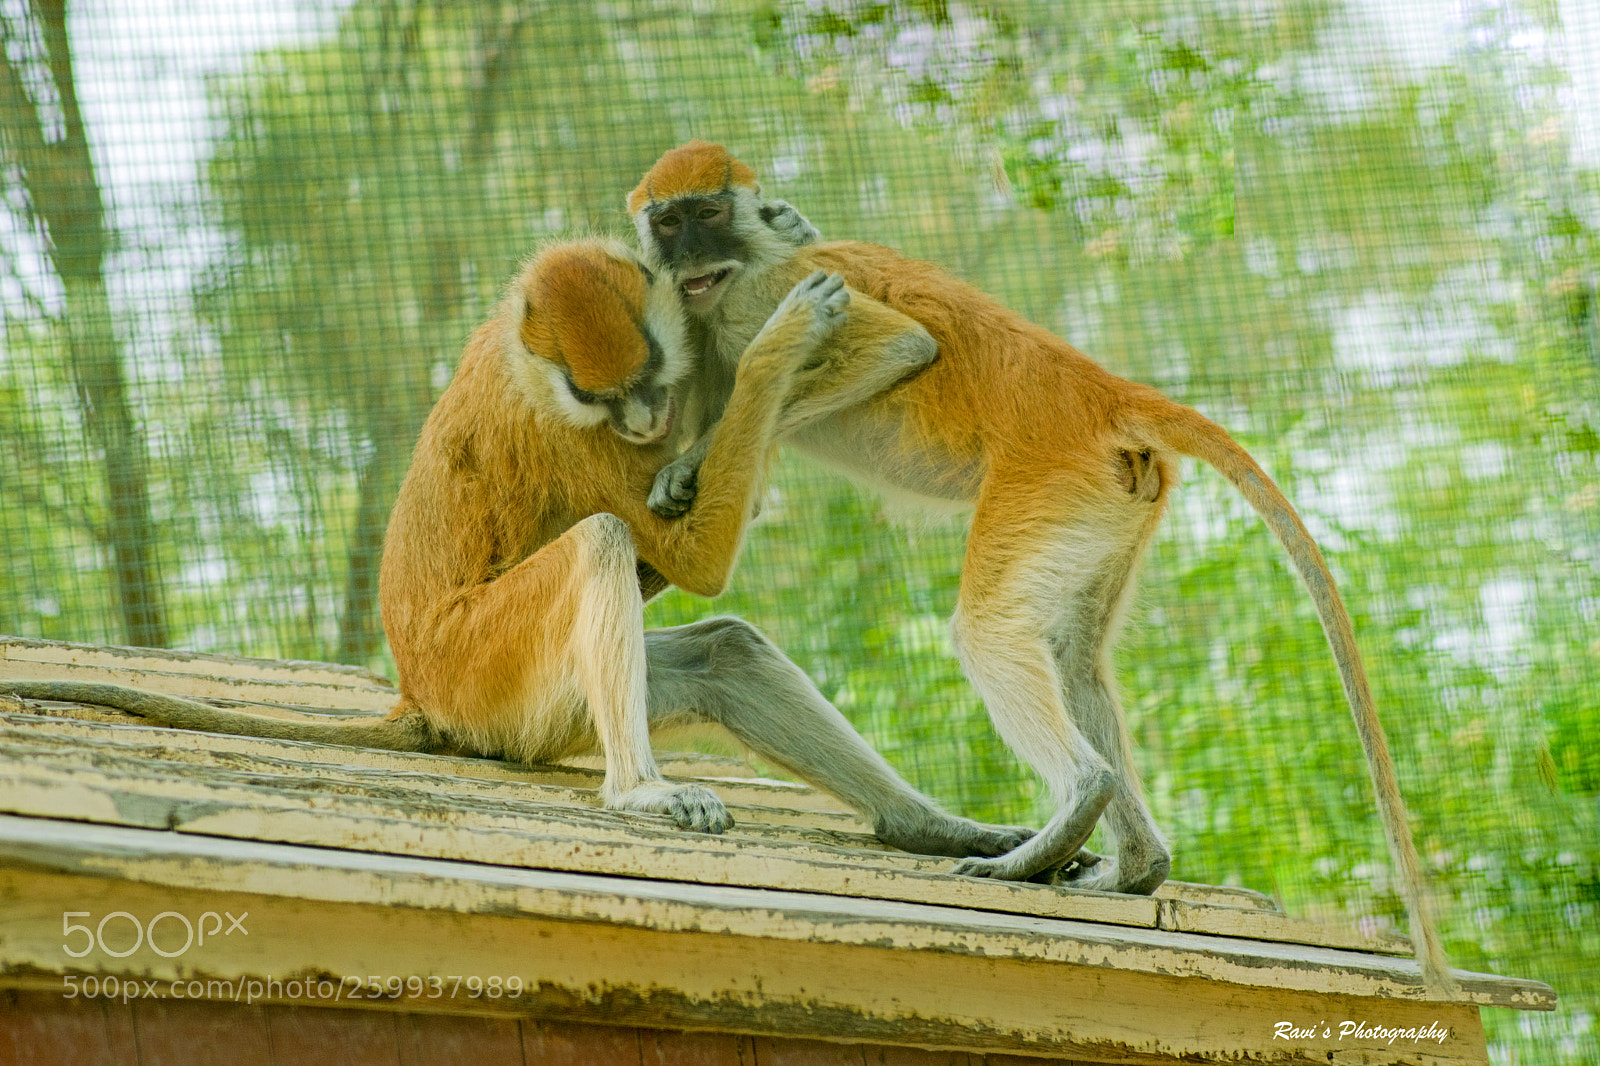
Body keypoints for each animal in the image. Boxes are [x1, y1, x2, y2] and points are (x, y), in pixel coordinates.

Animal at [2, 235, 1036, 862]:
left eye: (649, 376)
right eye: (601, 396)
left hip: (533, 710)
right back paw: (640, 793)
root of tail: (420, 692)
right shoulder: (572, 441)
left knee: (726, 651)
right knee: (600, 545)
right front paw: (785, 342)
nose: (649, 419)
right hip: (486, 668)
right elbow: (690, 556)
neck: (520, 358)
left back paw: (932, 827)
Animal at [624, 141, 1455, 993]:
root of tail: (1098, 391)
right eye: (669, 221)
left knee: (990, 632)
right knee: (1074, 656)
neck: (747, 261)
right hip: (1110, 500)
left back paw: (1073, 808)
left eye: (709, 213)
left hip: (1046, 477)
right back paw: (1138, 866)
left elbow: (901, 348)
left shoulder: (767, 293)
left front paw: (686, 463)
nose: (688, 255)